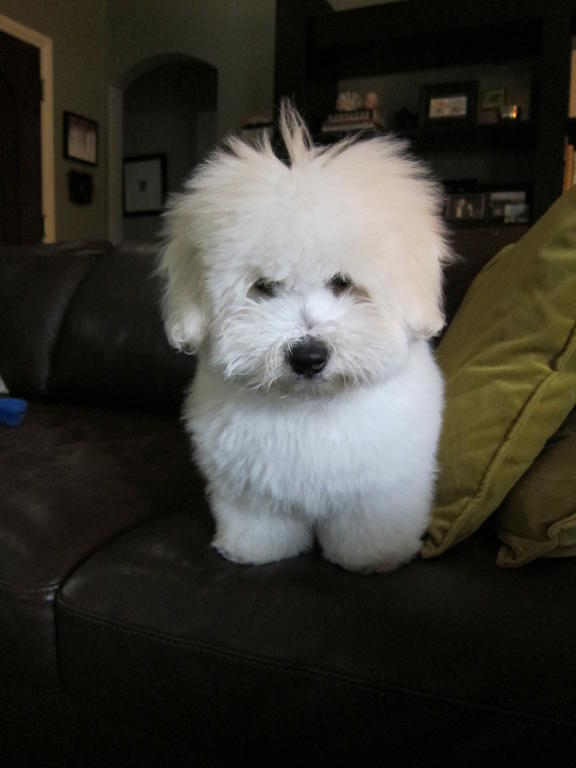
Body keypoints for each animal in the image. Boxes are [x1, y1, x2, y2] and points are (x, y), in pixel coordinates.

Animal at [159, 103, 450, 568]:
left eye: (343, 283)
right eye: (264, 287)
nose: (309, 356)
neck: (309, 405)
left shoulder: (381, 484)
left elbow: (371, 521)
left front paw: (375, 557)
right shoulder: (249, 481)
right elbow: (259, 518)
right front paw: (254, 550)